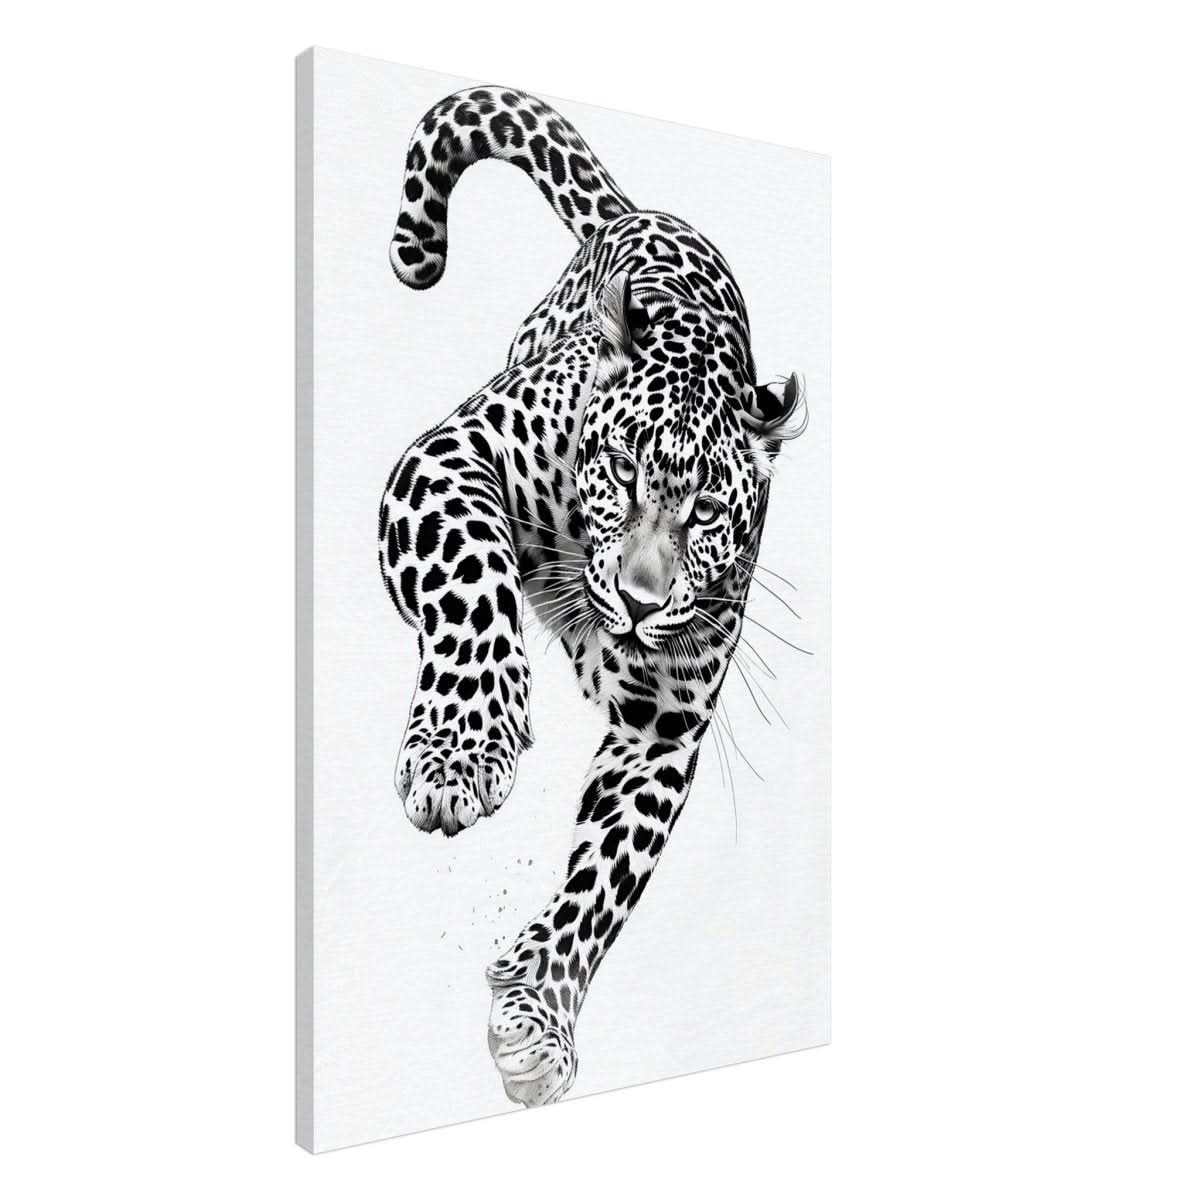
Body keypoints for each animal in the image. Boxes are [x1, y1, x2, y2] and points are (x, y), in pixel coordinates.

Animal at [379, 86, 808, 1108]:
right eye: (619, 470)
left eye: (707, 512)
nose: (643, 601)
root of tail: (643, 211)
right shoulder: (449, 457)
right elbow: (473, 577)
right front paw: (462, 751)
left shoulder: (662, 725)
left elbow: (606, 878)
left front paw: (537, 1014)